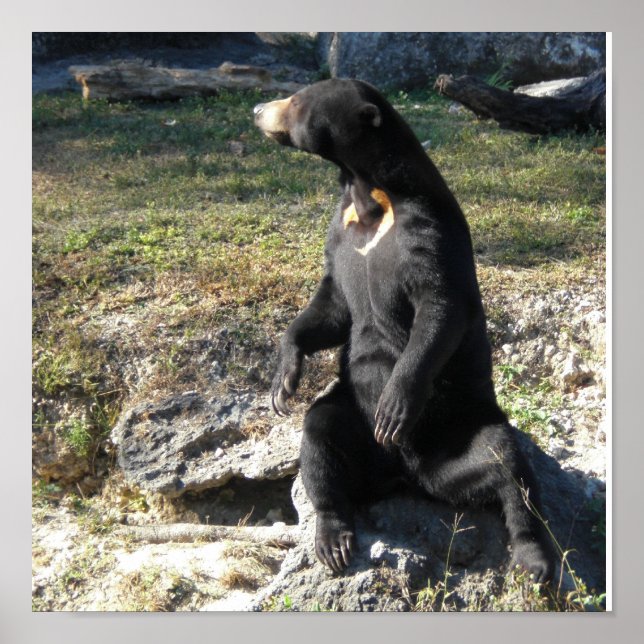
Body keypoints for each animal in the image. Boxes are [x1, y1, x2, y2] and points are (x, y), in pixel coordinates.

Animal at [253, 78, 555, 582]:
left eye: (296, 100)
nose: (258, 109)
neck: (367, 193)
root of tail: (406, 475)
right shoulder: (340, 235)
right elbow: (334, 304)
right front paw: (283, 381)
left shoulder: (426, 227)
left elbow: (439, 305)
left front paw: (395, 403)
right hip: (354, 415)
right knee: (320, 436)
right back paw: (333, 538)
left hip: (461, 424)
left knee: (506, 464)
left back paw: (534, 559)